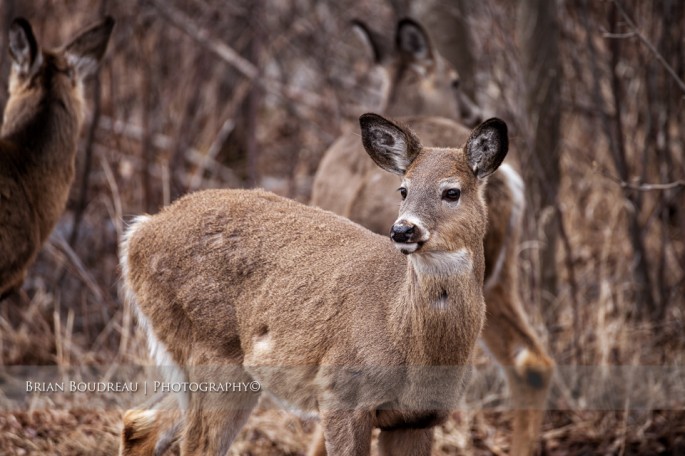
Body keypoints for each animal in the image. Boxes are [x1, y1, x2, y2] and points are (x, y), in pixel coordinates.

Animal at [120, 114, 508, 456]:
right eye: (403, 189)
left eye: (452, 192)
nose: (403, 230)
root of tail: (139, 233)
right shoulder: (340, 393)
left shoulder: (419, 419)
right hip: (209, 350)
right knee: (194, 442)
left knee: (139, 421)